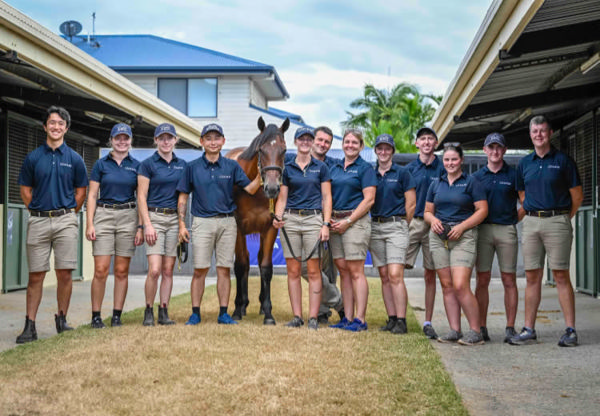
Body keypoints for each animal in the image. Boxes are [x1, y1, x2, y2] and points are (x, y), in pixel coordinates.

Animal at [226, 116, 290, 324]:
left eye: (284, 150)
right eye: (261, 150)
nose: (272, 188)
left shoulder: (270, 228)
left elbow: (266, 267)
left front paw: (268, 312)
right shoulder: (238, 229)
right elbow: (240, 266)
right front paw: (237, 309)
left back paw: (261, 304)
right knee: (245, 261)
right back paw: (243, 304)